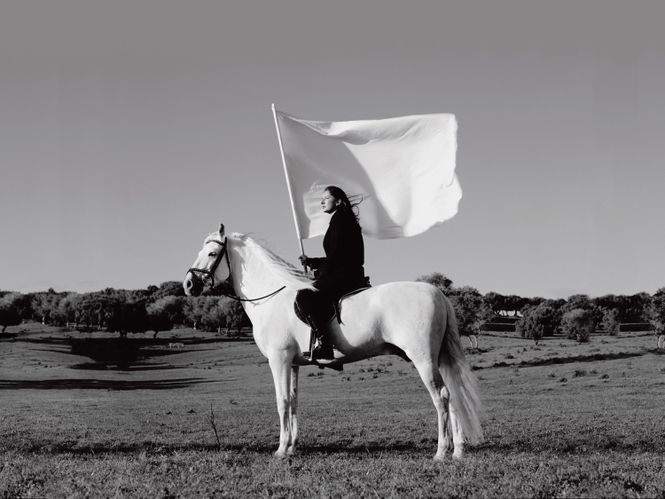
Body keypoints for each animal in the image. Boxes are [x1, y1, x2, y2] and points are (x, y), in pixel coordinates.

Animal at [184, 227, 480, 460]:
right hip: (438, 359)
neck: (272, 297)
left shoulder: (279, 360)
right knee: (452, 395)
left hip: (423, 359)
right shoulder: (294, 363)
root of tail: (437, 292)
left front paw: (280, 450)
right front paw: (291, 447)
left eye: (212, 254)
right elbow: (293, 401)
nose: (188, 284)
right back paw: (458, 451)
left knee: (441, 397)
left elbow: (282, 401)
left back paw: (441, 452)